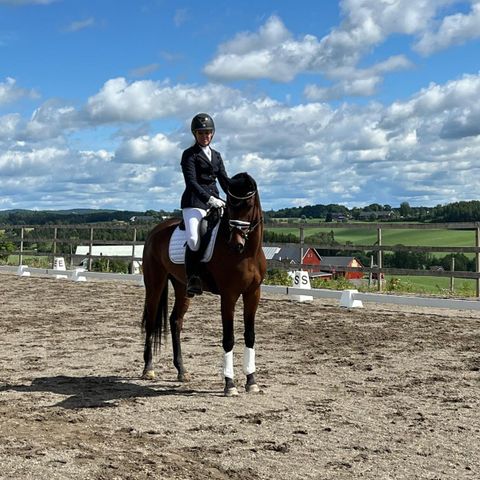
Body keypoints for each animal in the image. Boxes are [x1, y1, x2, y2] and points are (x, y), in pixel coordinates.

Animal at [141, 172, 266, 398]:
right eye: (230, 205)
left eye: (249, 204)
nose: (236, 244)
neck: (247, 254)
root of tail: (156, 230)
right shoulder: (229, 295)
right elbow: (228, 338)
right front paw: (230, 385)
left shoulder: (253, 293)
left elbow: (250, 336)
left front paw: (252, 381)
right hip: (155, 283)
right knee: (152, 321)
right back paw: (148, 369)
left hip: (182, 286)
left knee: (175, 321)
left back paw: (182, 371)